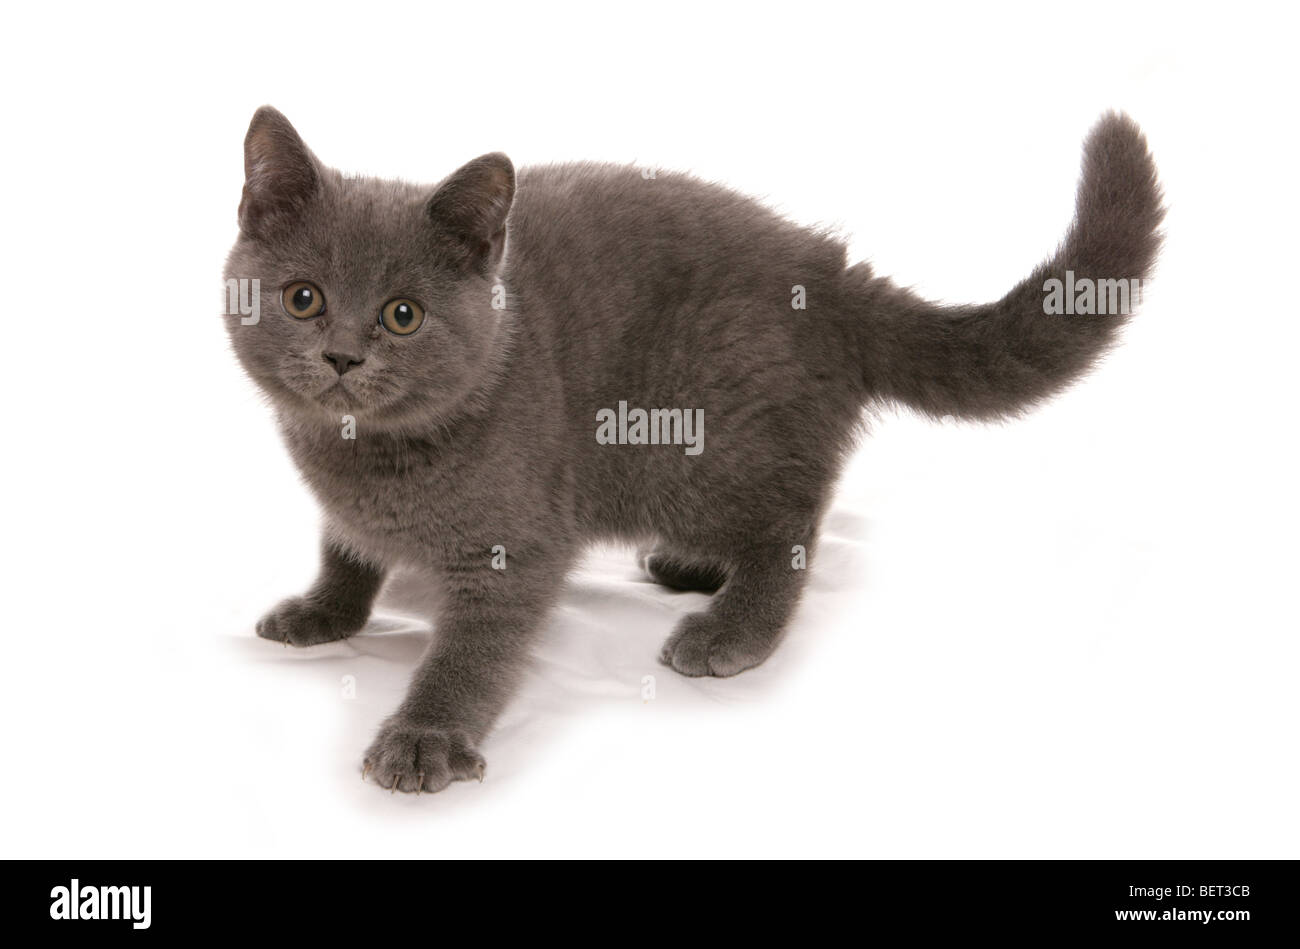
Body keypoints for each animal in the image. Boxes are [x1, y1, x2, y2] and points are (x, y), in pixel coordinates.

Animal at [223, 105, 1170, 790]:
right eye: (303, 298)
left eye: (402, 315)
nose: (342, 355)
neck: (369, 458)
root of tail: (830, 276)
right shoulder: (346, 508)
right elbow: (344, 549)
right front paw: (323, 611)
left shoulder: (517, 544)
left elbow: (475, 646)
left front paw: (426, 734)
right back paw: (690, 568)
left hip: (691, 451)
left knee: (790, 520)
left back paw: (732, 628)